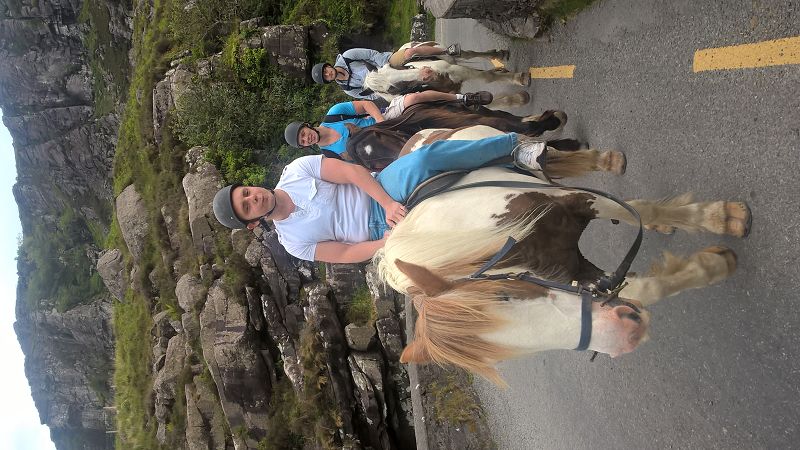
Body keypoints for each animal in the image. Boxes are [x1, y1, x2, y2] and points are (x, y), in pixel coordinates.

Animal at [374, 127, 751, 387]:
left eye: (505, 295)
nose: (626, 337)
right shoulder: (571, 271)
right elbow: (642, 289)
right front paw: (712, 266)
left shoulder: (578, 200)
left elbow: (641, 210)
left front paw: (719, 219)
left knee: (548, 156)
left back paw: (606, 161)